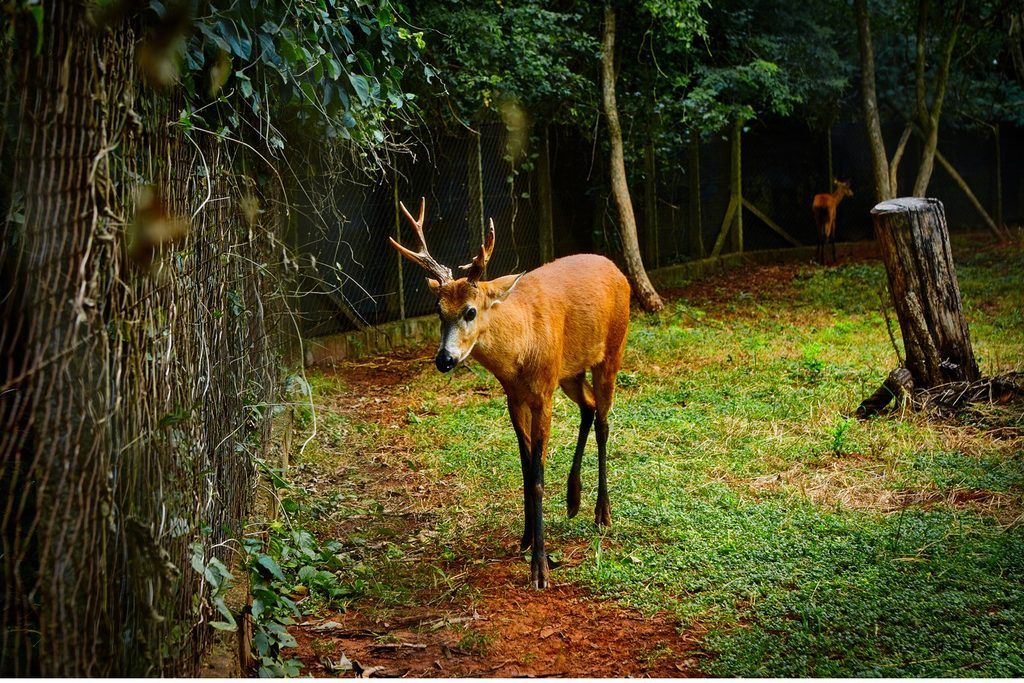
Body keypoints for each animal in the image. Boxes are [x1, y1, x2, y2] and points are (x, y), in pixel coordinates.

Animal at [389, 198, 631, 589]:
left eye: (470, 310)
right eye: (439, 311)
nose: (444, 359)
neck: (521, 348)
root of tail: (616, 269)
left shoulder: (542, 392)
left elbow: (537, 477)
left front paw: (540, 568)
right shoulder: (514, 396)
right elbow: (524, 469)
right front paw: (526, 539)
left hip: (612, 350)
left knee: (605, 421)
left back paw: (602, 514)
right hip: (570, 371)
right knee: (590, 407)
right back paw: (573, 499)